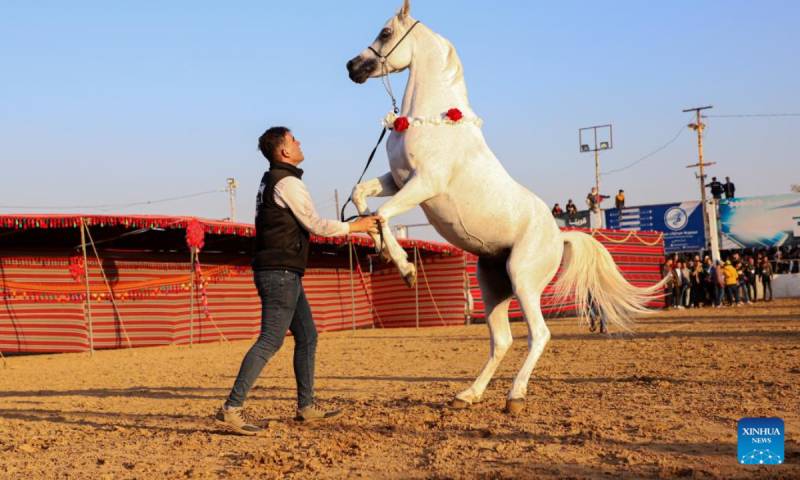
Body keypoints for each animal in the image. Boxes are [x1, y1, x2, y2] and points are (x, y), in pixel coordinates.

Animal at [346, 0, 661, 414]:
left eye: (384, 32)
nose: (352, 67)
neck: (436, 122)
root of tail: (559, 236)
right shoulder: (397, 181)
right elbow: (361, 197)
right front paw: (386, 254)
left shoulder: (423, 184)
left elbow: (381, 216)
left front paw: (407, 269)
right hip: (493, 286)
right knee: (502, 340)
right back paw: (468, 394)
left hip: (524, 280)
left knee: (538, 335)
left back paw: (515, 396)